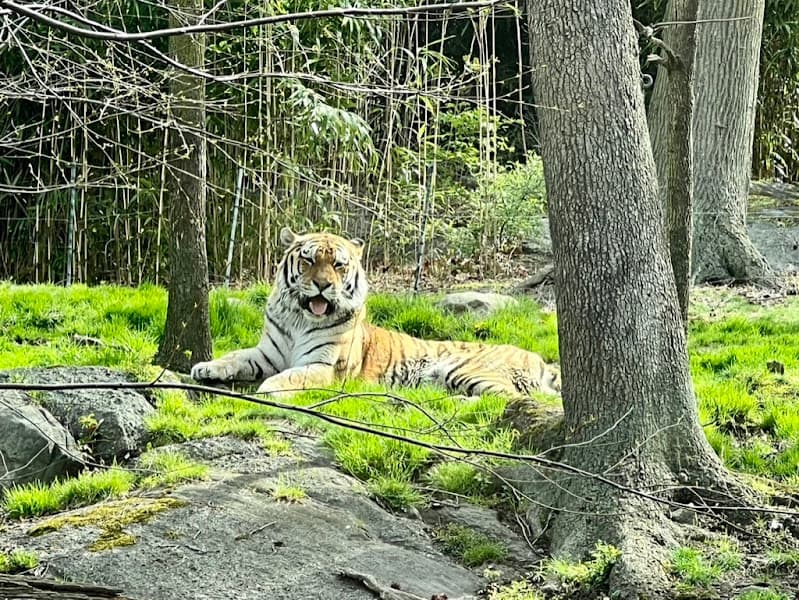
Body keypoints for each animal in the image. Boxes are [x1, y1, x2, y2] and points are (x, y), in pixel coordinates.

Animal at [190, 227, 561, 399]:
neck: (300, 319)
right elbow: (236, 356)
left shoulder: (324, 367)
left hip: (467, 370)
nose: (323, 285)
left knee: (506, 399)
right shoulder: (267, 352)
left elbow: (292, 375)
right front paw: (205, 367)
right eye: (309, 260)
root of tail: (538, 358)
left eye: (339, 265)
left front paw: (268, 389)